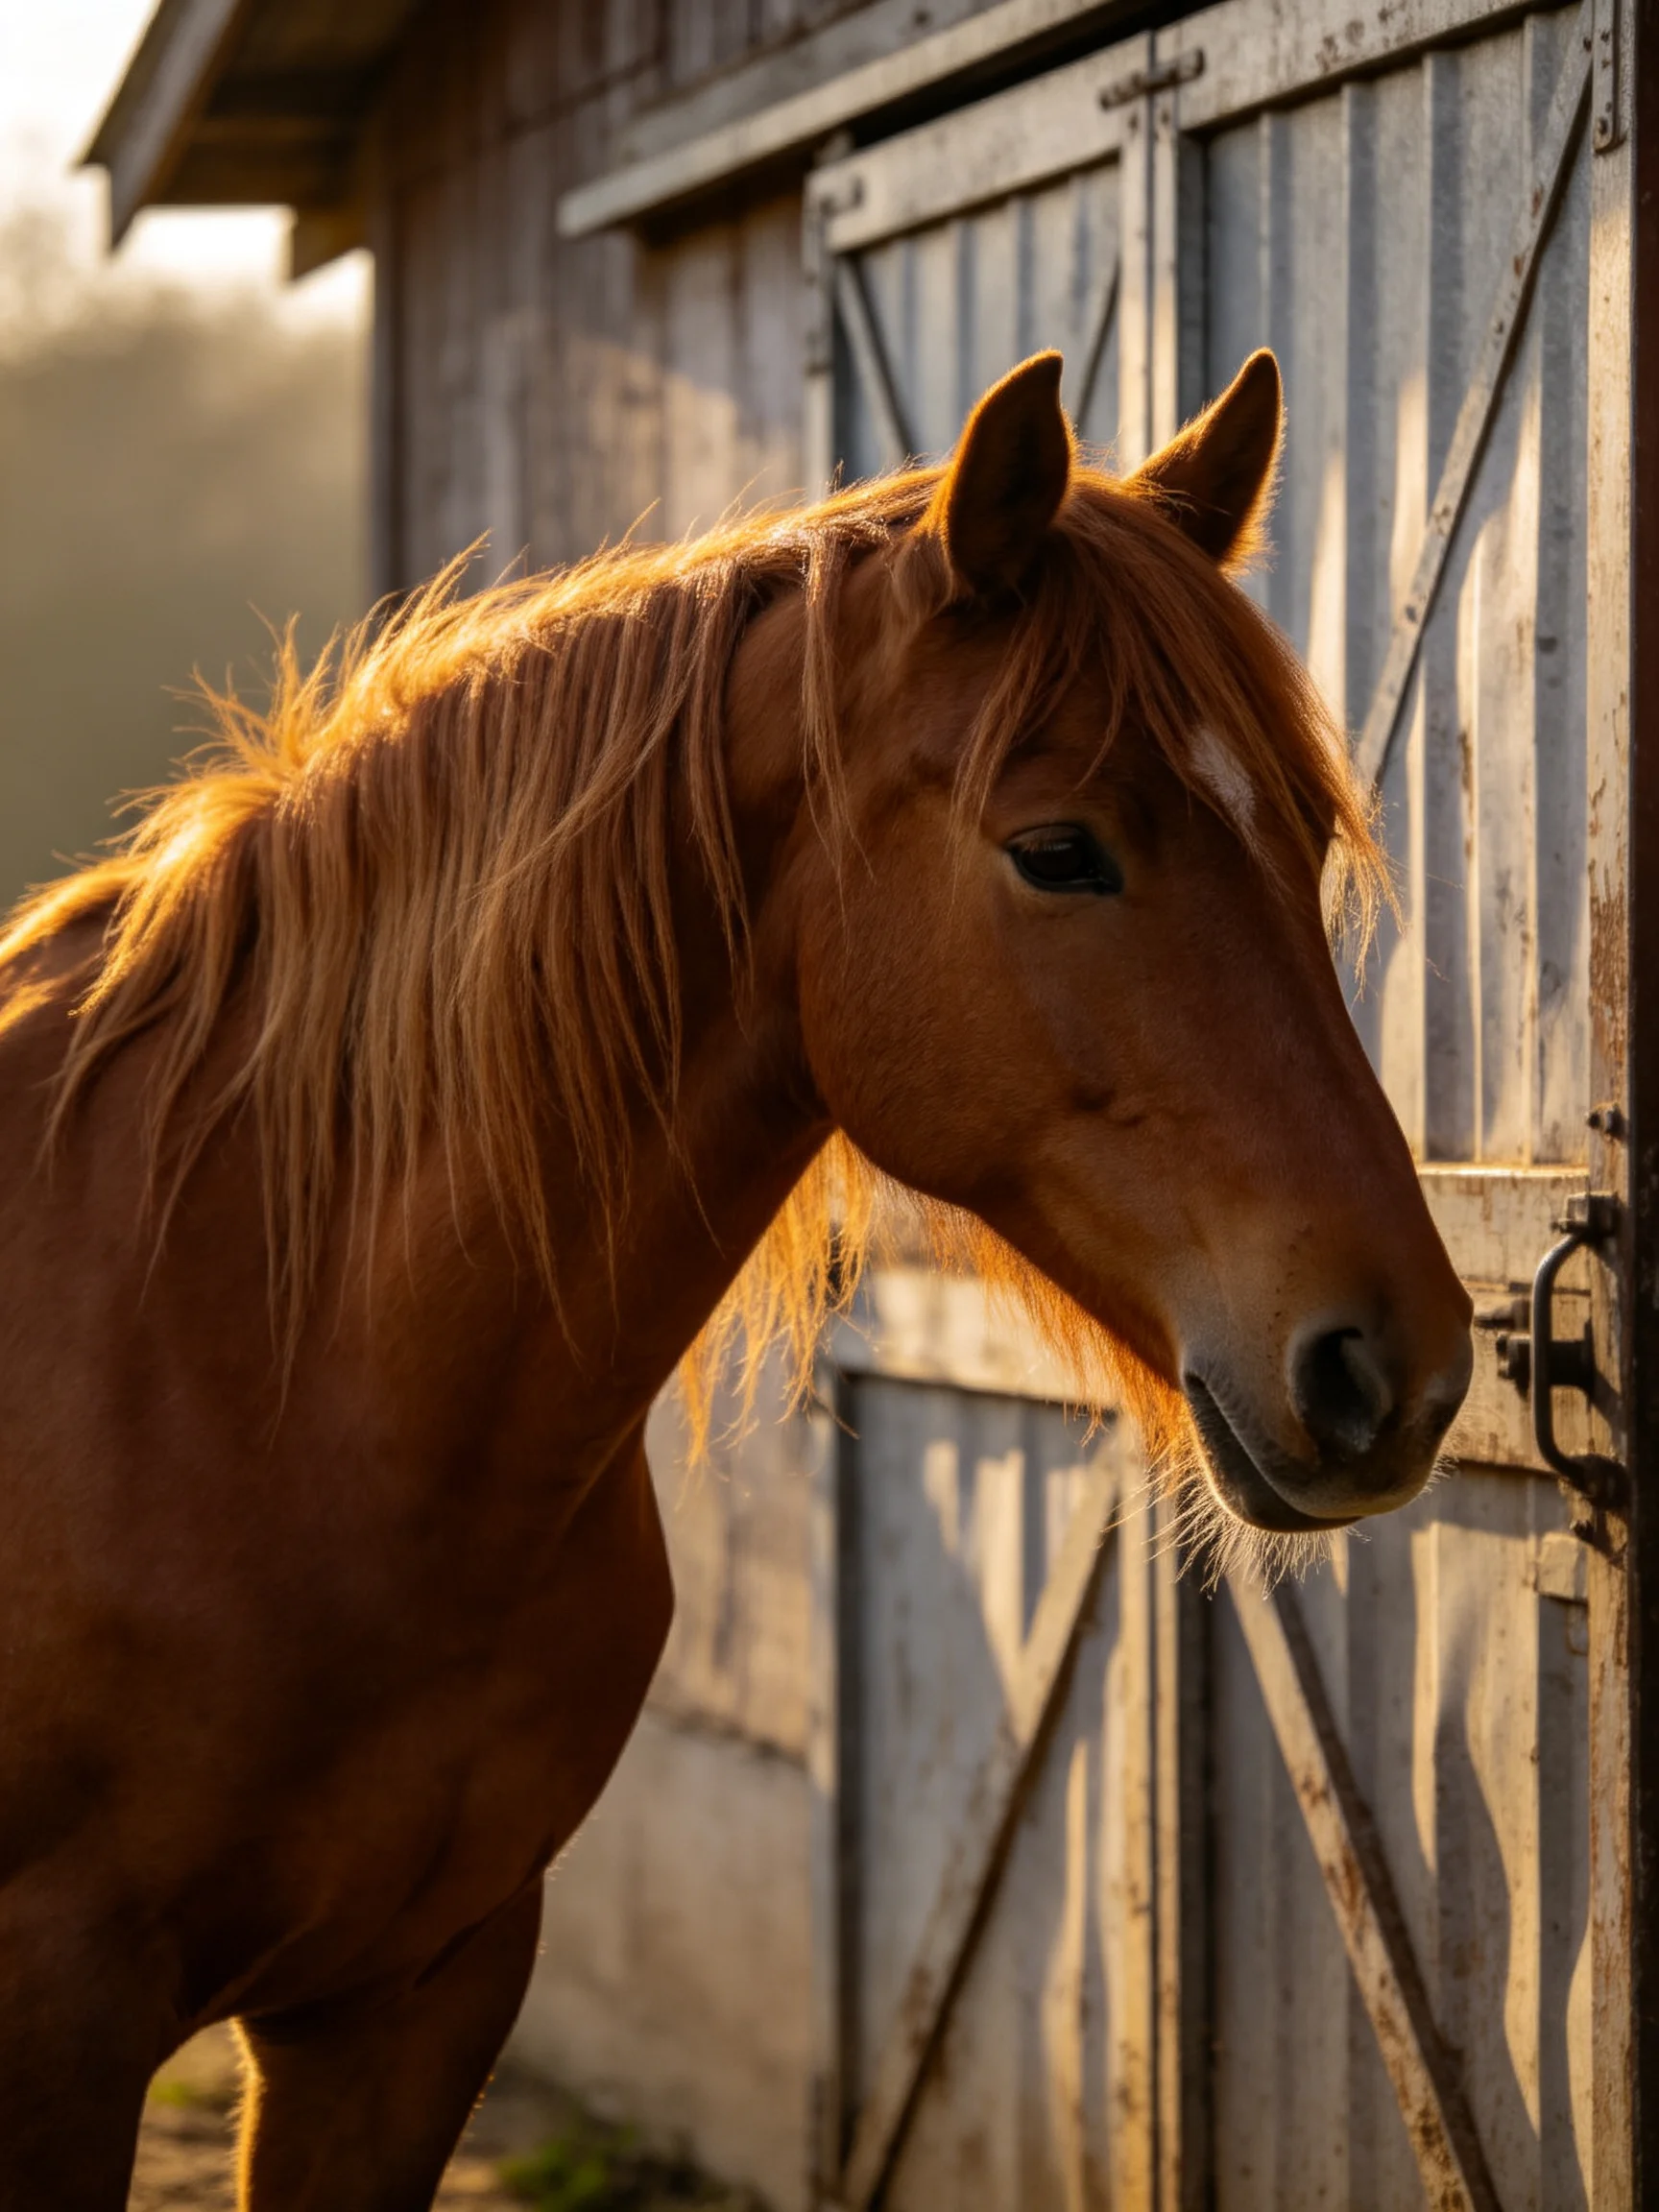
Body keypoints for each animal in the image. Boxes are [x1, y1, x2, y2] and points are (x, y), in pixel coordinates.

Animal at [0, 347, 1471, 2208]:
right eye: (1058, 848)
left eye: (1304, 837)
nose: (1398, 1365)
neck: (251, 1366)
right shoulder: (56, 2019)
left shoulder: (410, 2001)